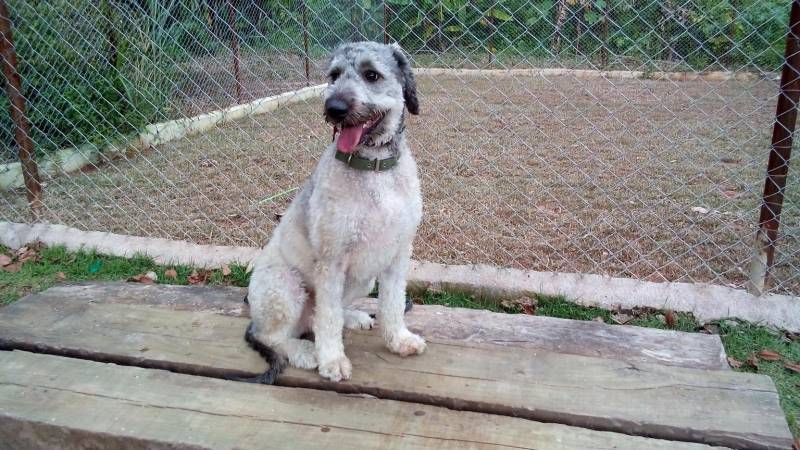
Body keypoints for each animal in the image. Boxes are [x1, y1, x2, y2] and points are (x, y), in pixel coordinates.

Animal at [245, 42, 424, 382]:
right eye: (334, 75)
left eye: (371, 74)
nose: (334, 108)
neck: (373, 169)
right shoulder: (331, 260)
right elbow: (326, 318)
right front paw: (332, 361)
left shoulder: (397, 254)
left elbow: (392, 304)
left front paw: (398, 339)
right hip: (284, 285)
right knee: (275, 335)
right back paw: (306, 352)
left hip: (363, 279)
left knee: (324, 316)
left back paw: (353, 318)